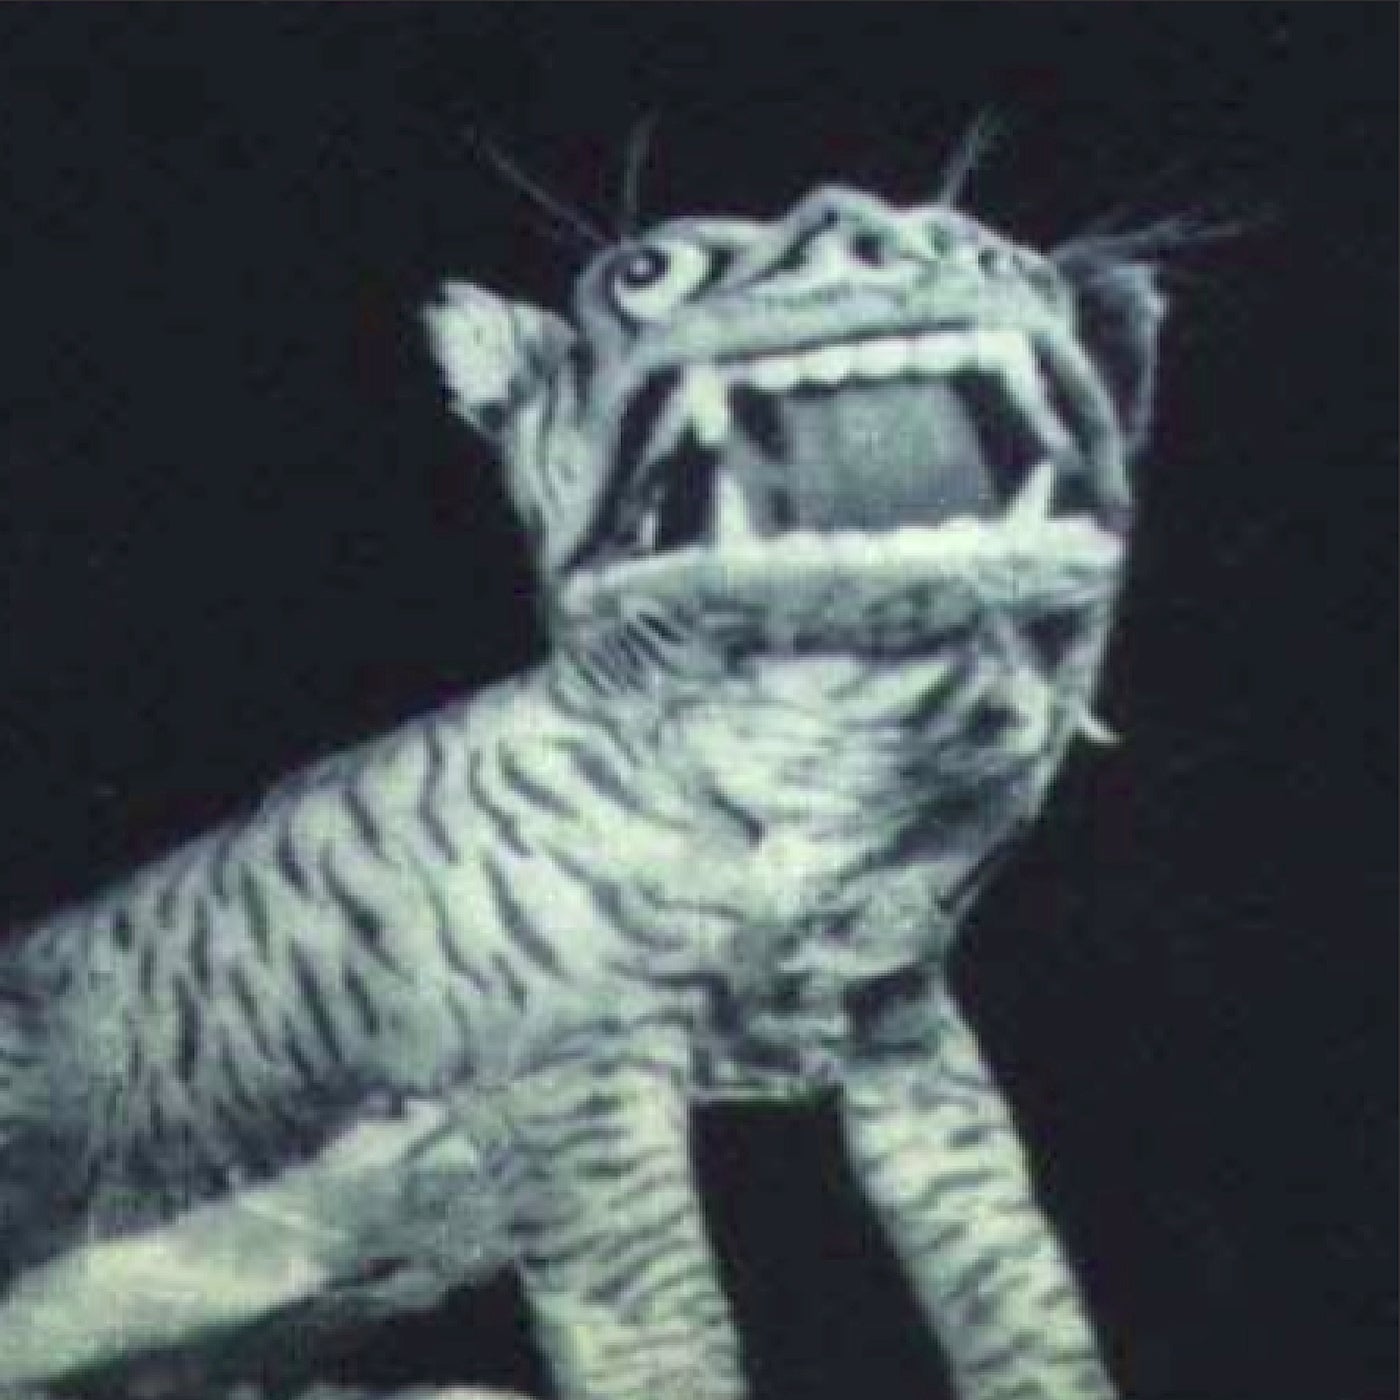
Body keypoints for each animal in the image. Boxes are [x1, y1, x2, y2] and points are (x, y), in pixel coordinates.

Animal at [0, 176, 1166, 1400]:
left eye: (993, 251)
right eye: (646, 271)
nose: (867, 231)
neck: (823, 794)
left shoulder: (907, 1032)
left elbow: (1014, 1281)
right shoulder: (573, 1087)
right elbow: (664, 1333)